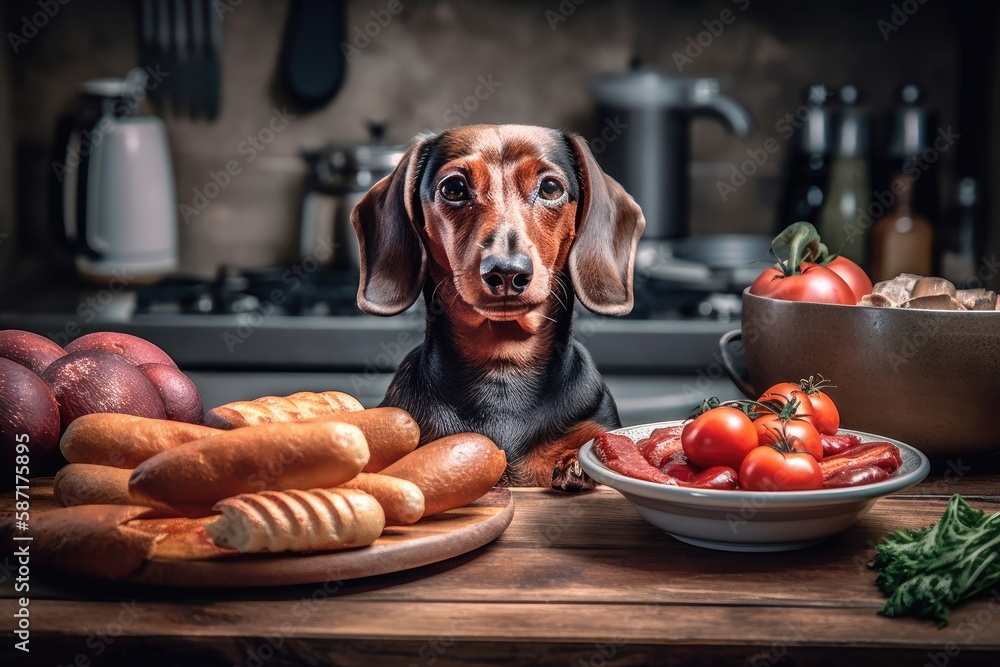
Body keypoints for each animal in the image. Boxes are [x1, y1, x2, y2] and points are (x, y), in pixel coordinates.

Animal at [352, 125, 644, 490]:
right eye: (453, 188)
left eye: (550, 187)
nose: (506, 272)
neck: (503, 364)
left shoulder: (595, 425)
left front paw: (574, 463)